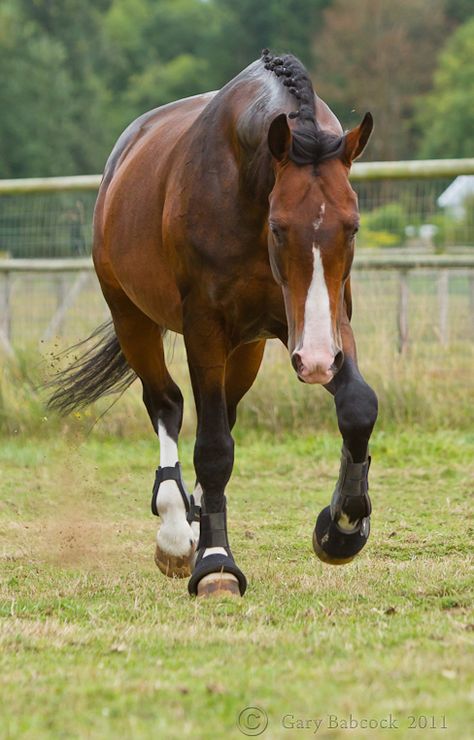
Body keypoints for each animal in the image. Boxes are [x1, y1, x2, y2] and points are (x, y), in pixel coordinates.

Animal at [49, 50, 378, 596]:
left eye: (351, 226)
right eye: (278, 227)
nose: (313, 363)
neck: (244, 182)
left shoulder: (326, 322)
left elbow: (357, 407)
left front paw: (342, 528)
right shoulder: (205, 326)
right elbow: (213, 448)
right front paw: (216, 563)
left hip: (249, 347)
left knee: (222, 408)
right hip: (132, 318)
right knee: (168, 404)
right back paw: (175, 530)